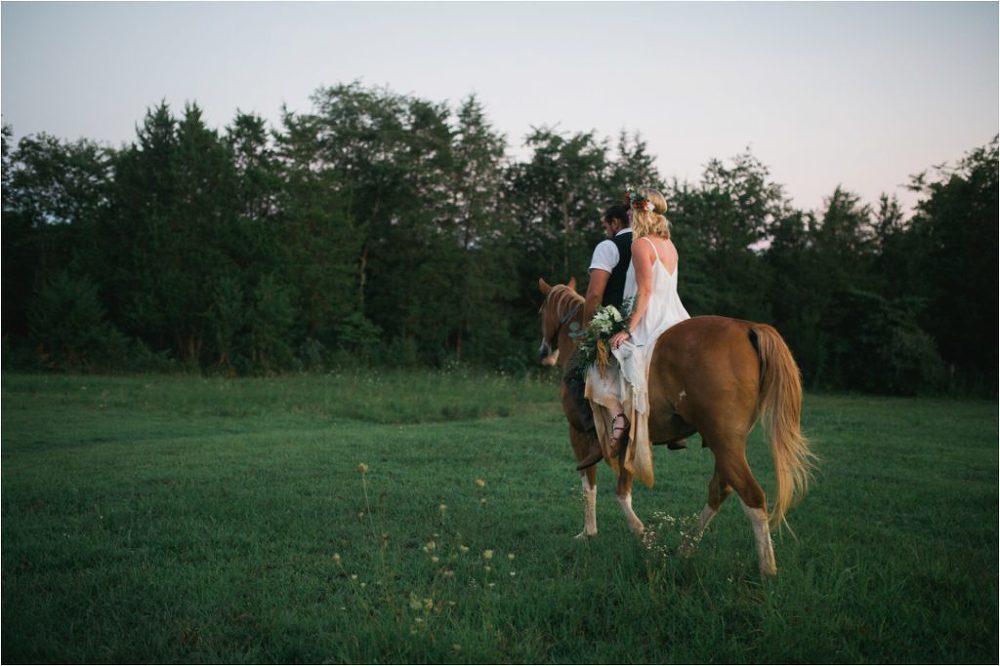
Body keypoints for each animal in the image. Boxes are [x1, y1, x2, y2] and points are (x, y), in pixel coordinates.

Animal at [540, 278, 812, 572]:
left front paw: (594, 533)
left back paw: (767, 570)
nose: (544, 352)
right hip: (727, 442)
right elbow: (622, 490)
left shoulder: (579, 435)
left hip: (723, 441)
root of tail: (749, 327)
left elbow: (590, 483)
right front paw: (643, 537)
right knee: (720, 489)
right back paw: (686, 548)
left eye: (540, 310)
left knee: (751, 495)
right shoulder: (629, 440)